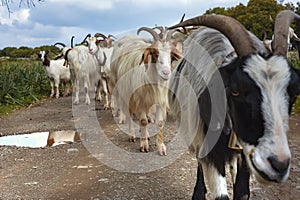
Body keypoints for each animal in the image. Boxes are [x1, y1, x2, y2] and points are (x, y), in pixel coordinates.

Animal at [109, 27, 180, 155]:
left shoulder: (160, 101)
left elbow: (159, 122)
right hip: (126, 95)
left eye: (172, 54)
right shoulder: (139, 101)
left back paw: (145, 134)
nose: (166, 72)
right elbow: (143, 121)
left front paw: (161, 147)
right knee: (130, 116)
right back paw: (132, 135)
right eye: (155, 53)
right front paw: (144, 145)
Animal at [168, 10, 300, 199]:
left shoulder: (246, 155)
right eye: (236, 90)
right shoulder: (209, 145)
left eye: (294, 92)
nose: (278, 164)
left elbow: (242, 191)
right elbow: (220, 193)